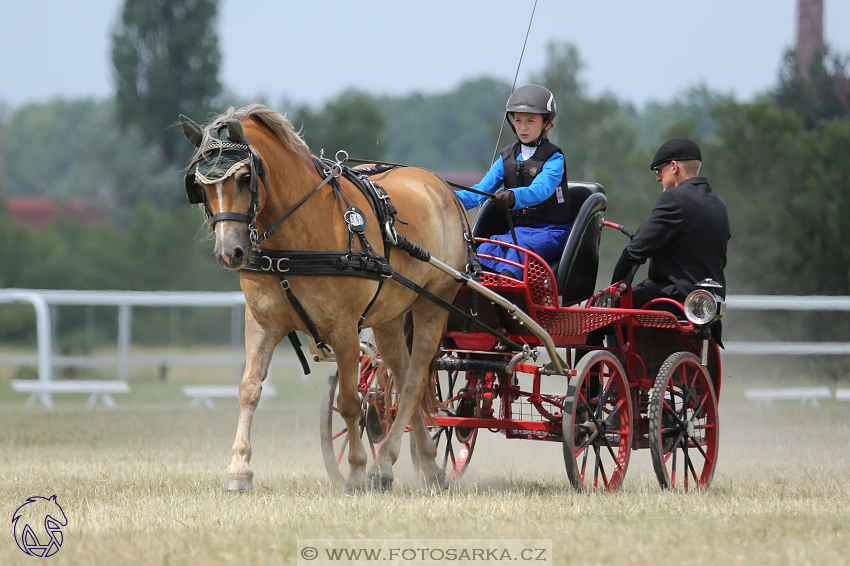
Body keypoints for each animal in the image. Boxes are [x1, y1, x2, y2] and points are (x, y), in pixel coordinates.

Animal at [180, 105, 470, 492]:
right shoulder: (261, 323)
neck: (297, 235)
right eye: (199, 186)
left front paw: (358, 470)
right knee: (401, 373)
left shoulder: (344, 329)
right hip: (390, 316)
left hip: (433, 304)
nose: (230, 252)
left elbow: (348, 402)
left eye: (244, 177)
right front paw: (238, 468)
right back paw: (421, 464)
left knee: (413, 381)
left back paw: (384, 464)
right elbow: (249, 389)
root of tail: (441, 187)